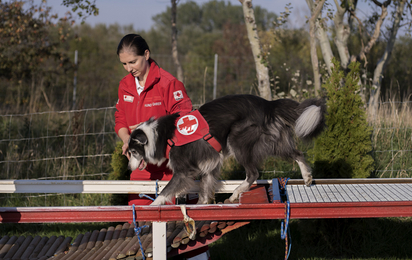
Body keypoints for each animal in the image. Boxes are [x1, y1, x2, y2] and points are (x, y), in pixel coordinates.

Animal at [129, 94, 326, 205]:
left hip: (238, 140)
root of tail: (268, 104)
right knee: (297, 154)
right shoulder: (209, 166)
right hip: (274, 143)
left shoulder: (184, 171)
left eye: (132, 152)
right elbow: (205, 188)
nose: (129, 168)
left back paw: (236, 193)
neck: (161, 136)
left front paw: (153, 207)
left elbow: (166, 191)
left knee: (253, 173)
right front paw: (202, 205)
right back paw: (307, 177)